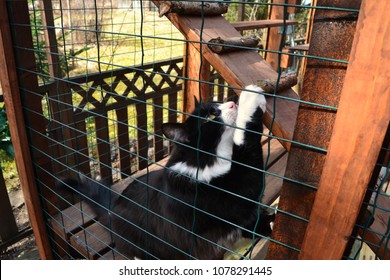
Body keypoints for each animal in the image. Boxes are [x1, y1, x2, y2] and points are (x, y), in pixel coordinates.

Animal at [62, 84, 272, 260]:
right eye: (211, 116)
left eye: (217, 104)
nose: (232, 103)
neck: (207, 160)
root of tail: (111, 210)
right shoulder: (235, 191)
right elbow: (246, 142)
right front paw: (252, 95)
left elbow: (252, 221)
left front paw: (269, 225)